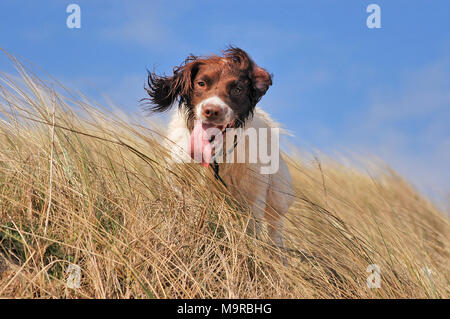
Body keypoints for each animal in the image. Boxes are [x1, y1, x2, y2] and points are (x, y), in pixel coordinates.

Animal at [144, 47, 296, 250]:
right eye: (201, 83)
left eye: (237, 89)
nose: (212, 110)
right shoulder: (179, 181)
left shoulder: (253, 195)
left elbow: (250, 231)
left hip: (277, 199)